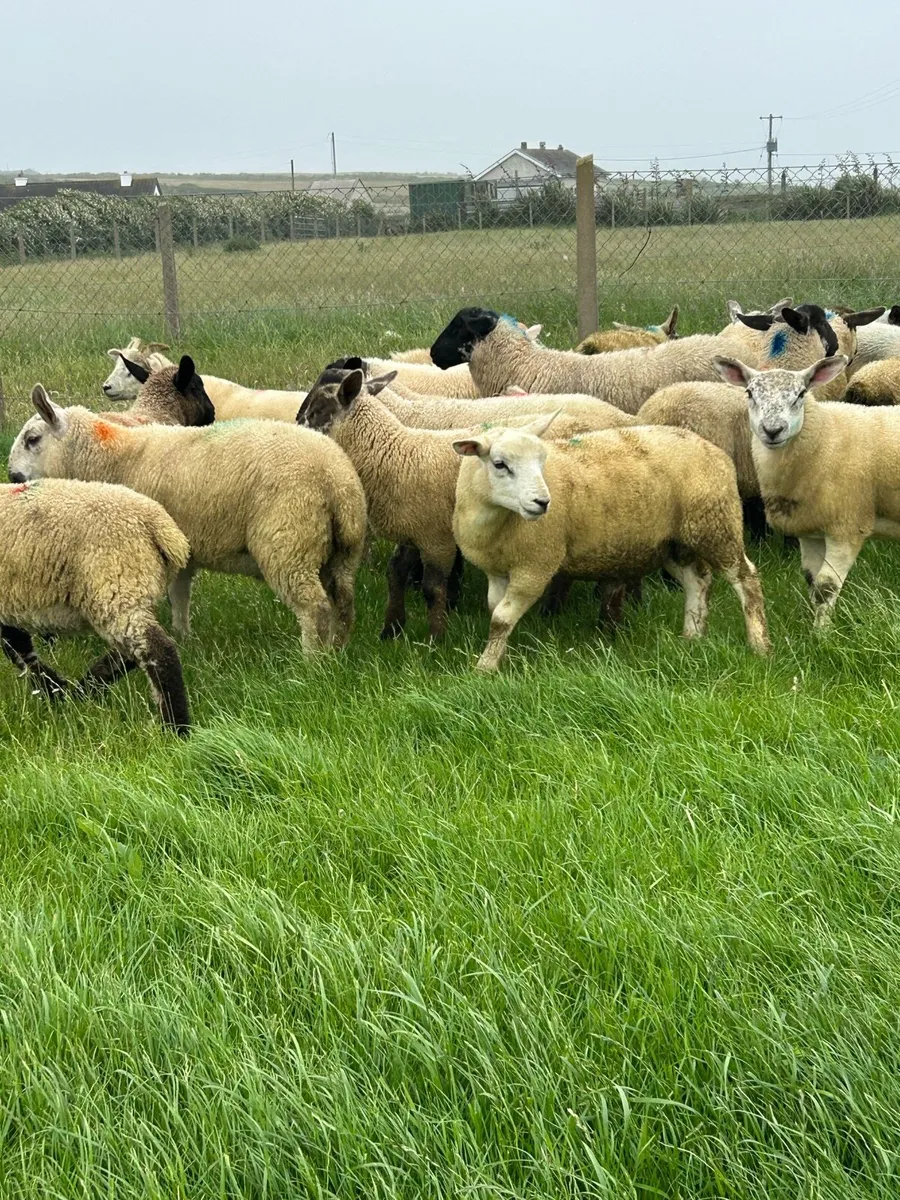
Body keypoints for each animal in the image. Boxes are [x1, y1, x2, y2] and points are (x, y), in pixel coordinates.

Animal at [0, 475, 191, 735]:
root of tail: (161, 527)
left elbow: (17, 649)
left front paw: (53, 689)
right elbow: (19, 648)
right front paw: (54, 689)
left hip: (115, 584)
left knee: (158, 650)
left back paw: (177, 727)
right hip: (128, 591)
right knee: (129, 653)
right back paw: (85, 690)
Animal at [8, 390, 367, 656]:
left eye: (32, 439)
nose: (12, 476)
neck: (112, 458)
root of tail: (336, 479)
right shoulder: (179, 546)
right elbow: (179, 596)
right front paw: (184, 637)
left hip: (289, 543)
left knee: (314, 608)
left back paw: (311, 663)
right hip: (343, 551)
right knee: (344, 603)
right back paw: (338, 650)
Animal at [451, 418, 770, 671]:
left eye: (542, 462)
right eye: (499, 464)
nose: (543, 502)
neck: (497, 520)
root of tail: (713, 449)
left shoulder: (535, 566)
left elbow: (501, 618)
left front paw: (485, 668)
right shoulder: (496, 570)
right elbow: (495, 611)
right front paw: (500, 656)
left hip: (716, 525)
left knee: (746, 579)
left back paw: (759, 645)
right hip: (674, 541)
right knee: (698, 582)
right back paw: (691, 636)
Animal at [710, 352, 899, 630]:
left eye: (800, 394)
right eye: (749, 393)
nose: (773, 430)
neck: (823, 439)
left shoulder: (847, 527)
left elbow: (826, 587)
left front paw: (823, 633)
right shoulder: (810, 531)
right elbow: (812, 582)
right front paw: (818, 628)